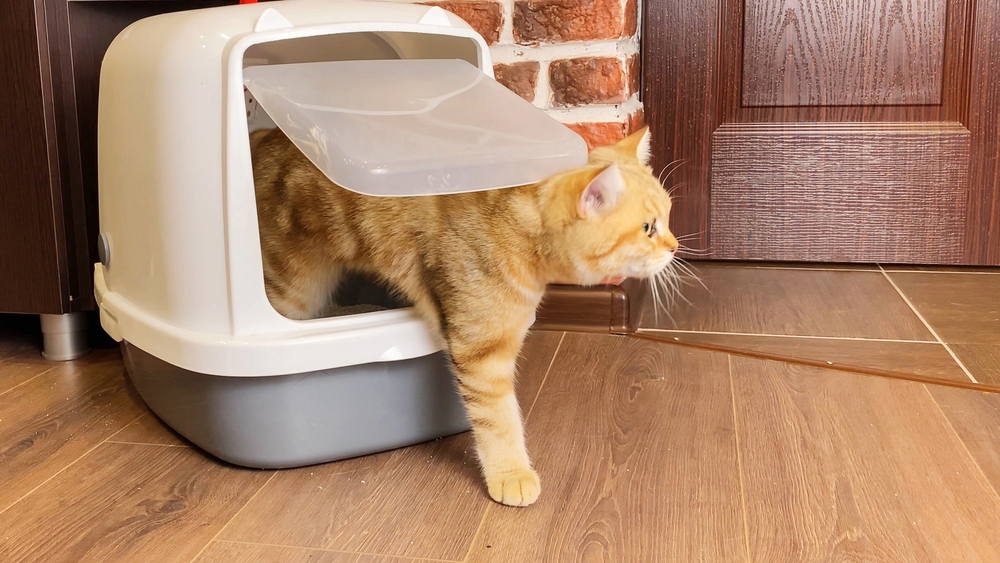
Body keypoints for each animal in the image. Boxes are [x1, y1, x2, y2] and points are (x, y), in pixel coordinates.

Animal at [250, 126, 680, 506]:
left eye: (669, 217)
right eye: (648, 228)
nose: (676, 246)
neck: (518, 233)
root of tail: (262, 137)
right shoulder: (483, 355)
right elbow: (500, 419)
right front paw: (511, 473)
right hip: (293, 290)